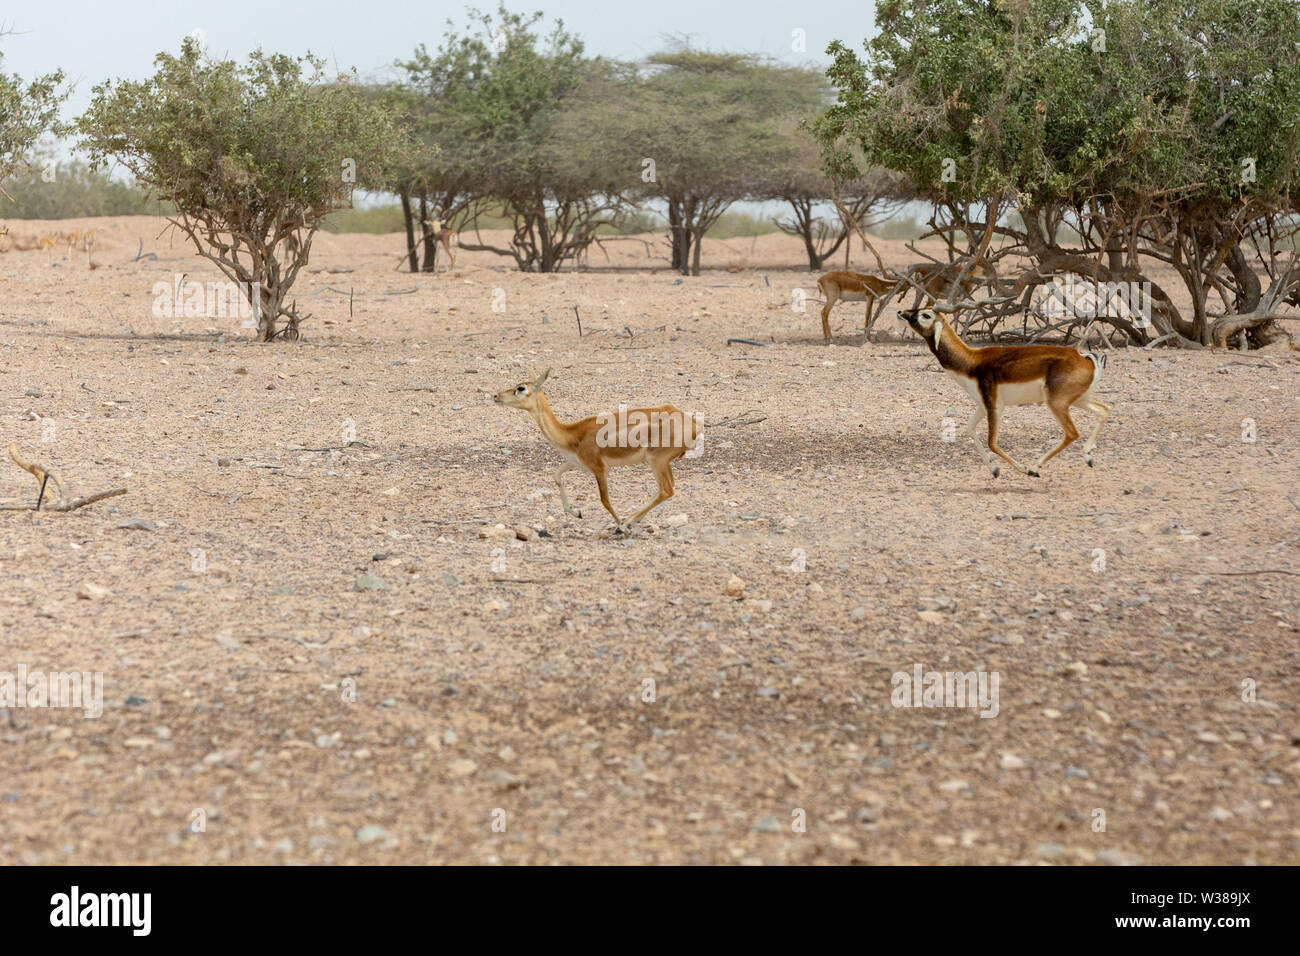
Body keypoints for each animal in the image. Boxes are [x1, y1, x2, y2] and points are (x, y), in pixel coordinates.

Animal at [493, 369, 702, 535]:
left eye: (521, 388)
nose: (496, 396)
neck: (572, 434)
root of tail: (694, 424)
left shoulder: (600, 468)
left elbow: (605, 500)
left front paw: (620, 526)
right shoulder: (576, 463)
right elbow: (557, 476)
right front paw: (577, 513)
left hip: (657, 461)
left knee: (666, 490)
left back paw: (626, 523)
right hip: (663, 463)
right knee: (668, 489)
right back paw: (632, 520)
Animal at [899, 308, 1110, 478]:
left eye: (926, 315)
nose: (901, 312)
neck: (972, 361)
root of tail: (1084, 359)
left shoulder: (995, 407)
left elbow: (991, 443)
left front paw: (1022, 469)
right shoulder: (982, 406)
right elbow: (969, 429)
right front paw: (994, 470)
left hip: (1057, 403)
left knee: (1072, 433)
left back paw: (1033, 468)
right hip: (1078, 400)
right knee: (1104, 410)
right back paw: (1088, 457)